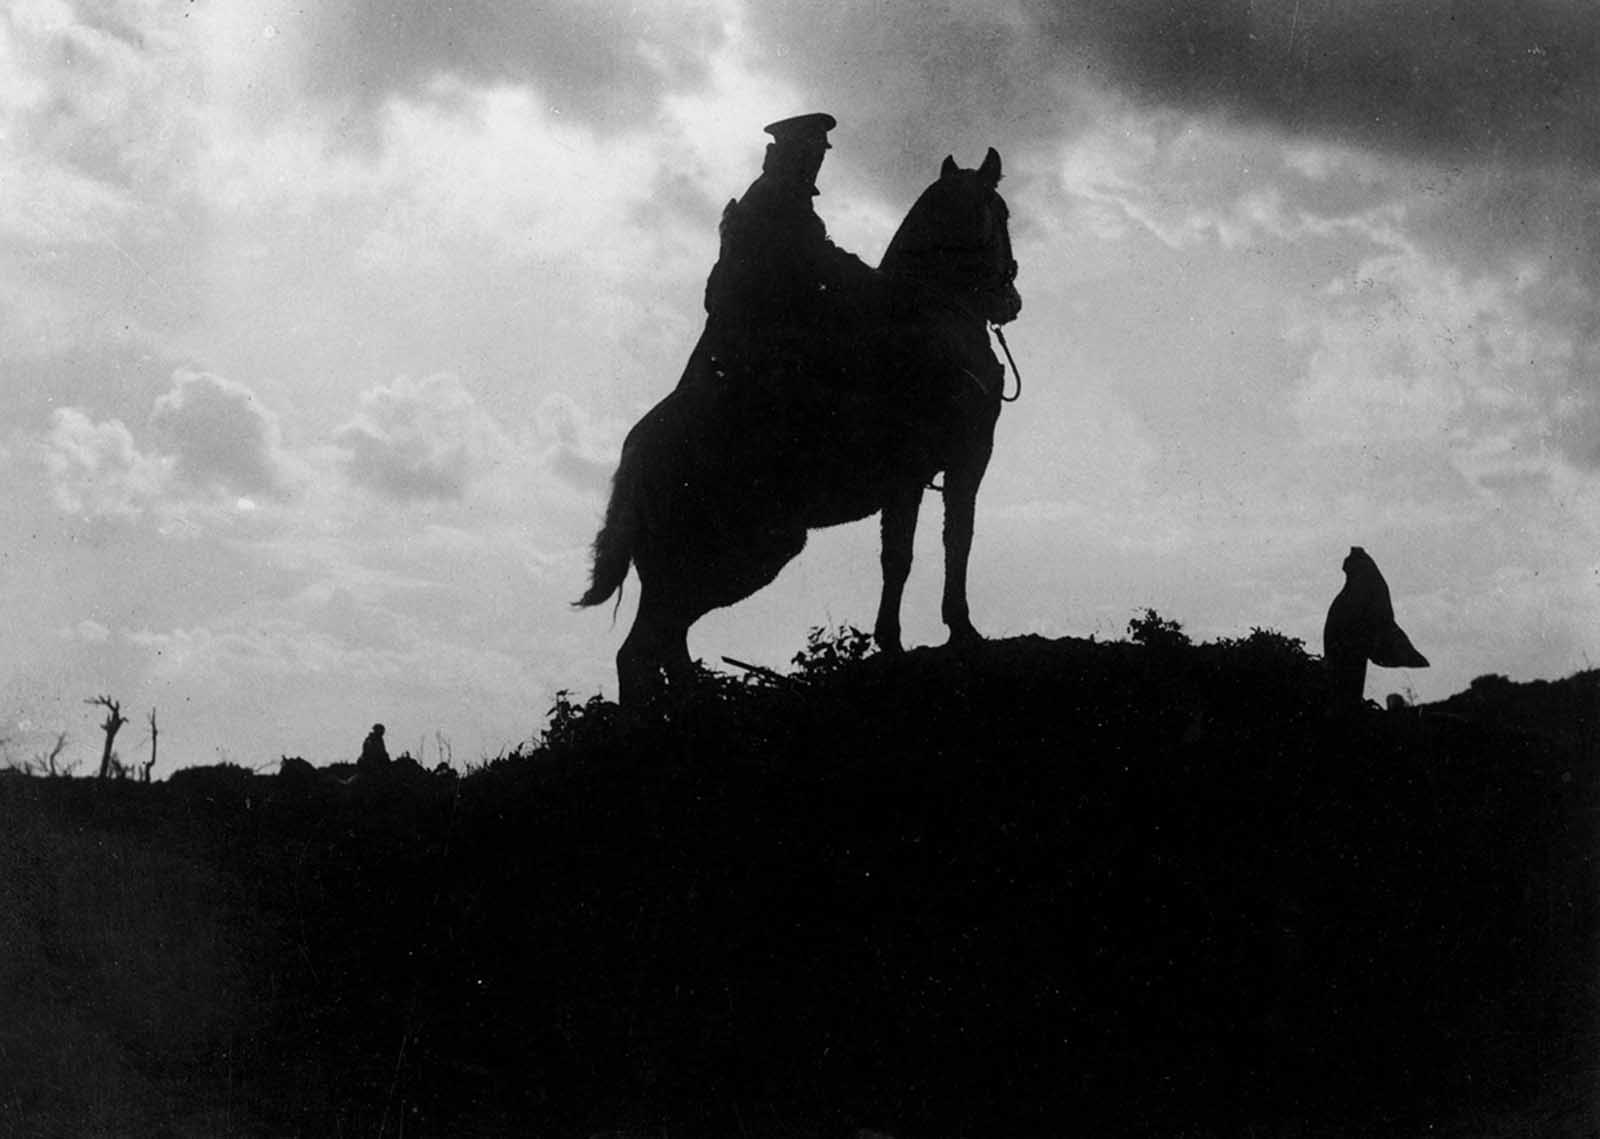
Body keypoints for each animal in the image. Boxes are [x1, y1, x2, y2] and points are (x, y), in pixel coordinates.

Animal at [582, 151, 1017, 703]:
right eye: (1003, 213)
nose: (1012, 301)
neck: (936, 314)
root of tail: (637, 451)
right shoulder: (962, 462)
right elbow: (948, 543)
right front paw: (956, 630)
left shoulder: (913, 482)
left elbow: (902, 556)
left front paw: (895, 641)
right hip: (735, 556)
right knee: (642, 651)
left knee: (662, 644)